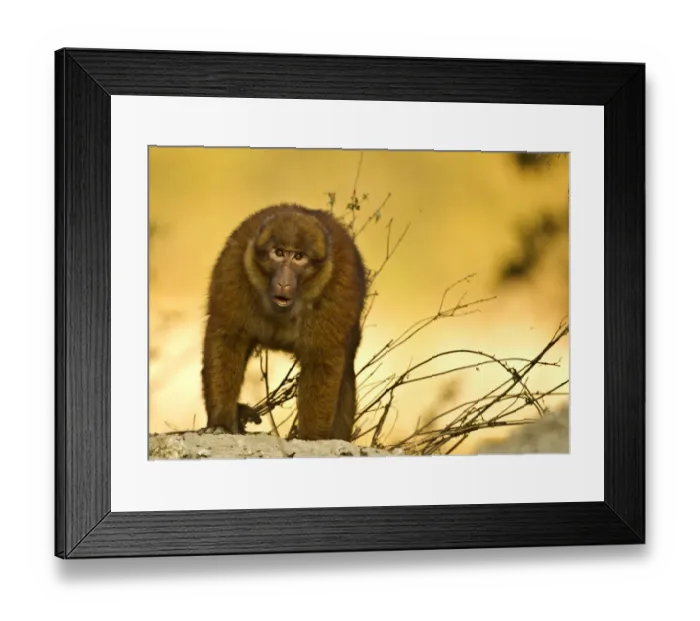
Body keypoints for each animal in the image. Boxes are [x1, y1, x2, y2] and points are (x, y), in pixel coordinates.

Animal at [201, 202, 367, 442]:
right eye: (279, 253)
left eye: (298, 257)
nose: (283, 282)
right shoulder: (236, 268)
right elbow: (227, 338)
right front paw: (221, 422)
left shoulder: (337, 288)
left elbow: (322, 360)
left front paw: (312, 438)